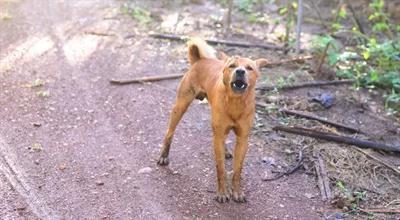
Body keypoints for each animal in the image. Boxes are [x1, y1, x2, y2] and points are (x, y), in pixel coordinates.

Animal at [158, 37, 268, 203]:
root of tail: (200, 60)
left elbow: (237, 171)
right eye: (232, 65)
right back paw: (164, 156)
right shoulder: (218, 136)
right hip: (180, 106)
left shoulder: (243, 139)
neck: (235, 102)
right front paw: (222, 193)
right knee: (169, 132)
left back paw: (226, 151)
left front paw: (237, 192)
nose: (240, 71)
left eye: (249, 68)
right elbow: (220, 168)